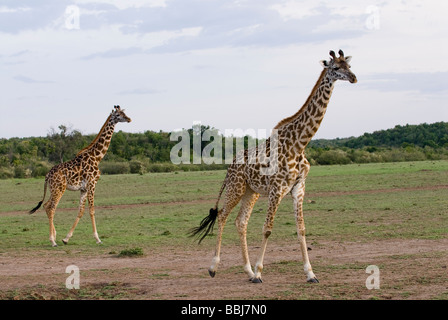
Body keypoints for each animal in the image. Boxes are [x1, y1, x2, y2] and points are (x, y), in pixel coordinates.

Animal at [29, 106, 131, 246]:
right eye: (118, 114)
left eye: (124, 113)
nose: (129, 119)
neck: (97, 157)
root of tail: (47, 175)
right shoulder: (92, 184)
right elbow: (92, 210)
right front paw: (98, 239)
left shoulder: (83, 188)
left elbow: (81, 211)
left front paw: (66, 238)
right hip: (59, 189)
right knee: (51, 207)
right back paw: (52, 241)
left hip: (54, 189)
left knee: (46, 205)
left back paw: (55, 236)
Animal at [192, 49, 356, 282]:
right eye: (335, 68)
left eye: (349, 66)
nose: (353, 78)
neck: (299, 143)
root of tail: (230, 166)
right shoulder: (276, 189)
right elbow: (267, 229)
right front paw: (260, 272)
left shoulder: (298, 188)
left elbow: (301, 229)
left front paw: (310, 273)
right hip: (236, 188)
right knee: (223, 216)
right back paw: (215, 267)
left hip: (251, 192)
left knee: (240, 222)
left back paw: (247, 270)